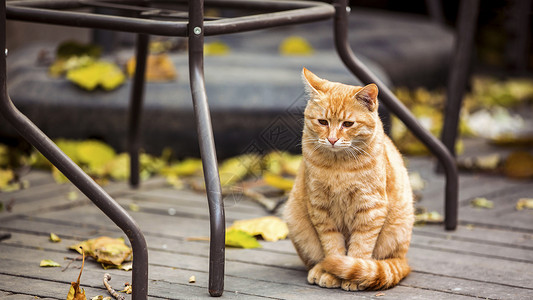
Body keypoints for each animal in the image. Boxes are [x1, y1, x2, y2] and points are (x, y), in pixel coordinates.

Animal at [284, 67, 414, 290]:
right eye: (322, 122)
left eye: (348, 124)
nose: (332, 139)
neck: (339, 167)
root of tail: (404, 259)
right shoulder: (321, 207)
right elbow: (332, 246)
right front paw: (332, 271)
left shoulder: (370, 208)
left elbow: (360, 247)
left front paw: (352, 275)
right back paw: (320, 269)